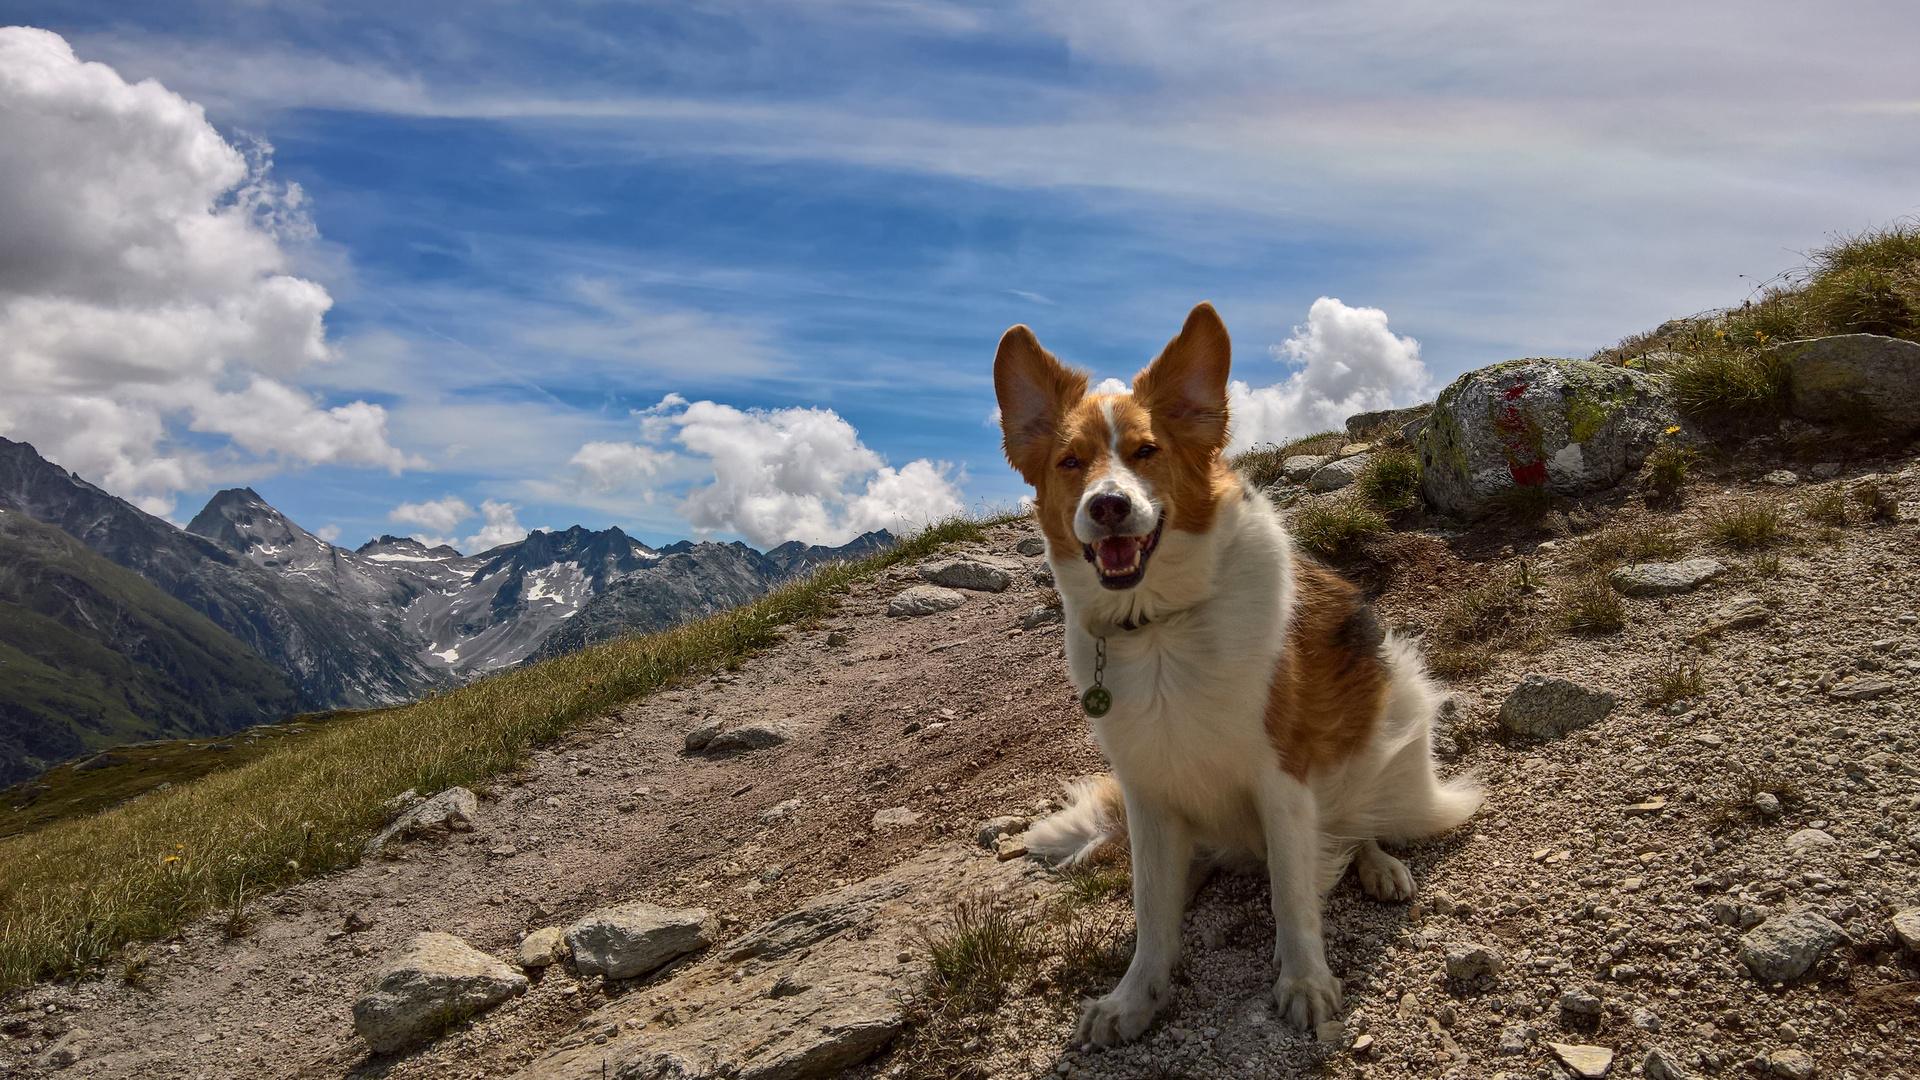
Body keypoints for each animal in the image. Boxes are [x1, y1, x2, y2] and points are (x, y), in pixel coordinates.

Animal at [998, 297, 1474, 1037]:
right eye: (1069, 461)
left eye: (1147, 451)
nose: (1108, 505)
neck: (1158, 627)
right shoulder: (1147, 790)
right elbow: (1151, 909)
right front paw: (1135, 997)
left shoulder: (1283, 777)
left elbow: (1293, 896)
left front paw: (1305, 981)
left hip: (1391, 731)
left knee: (1354, 825)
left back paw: (1379, 865)